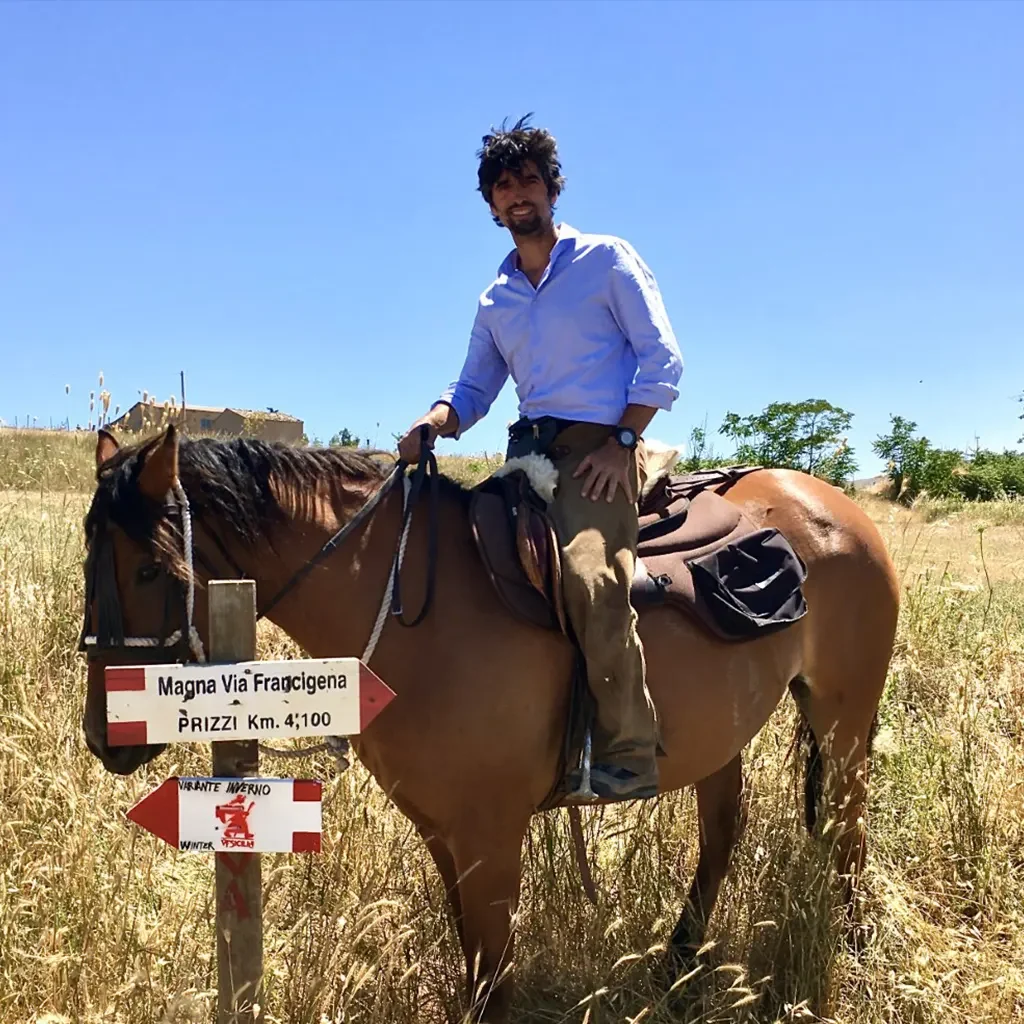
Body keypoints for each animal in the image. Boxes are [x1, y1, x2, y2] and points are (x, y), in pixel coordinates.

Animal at [77, 423, 897, 1015]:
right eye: (90, 565)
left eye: (150, 569)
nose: (105, 736)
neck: (411, 609)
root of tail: (833, 507)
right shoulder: (445, 835)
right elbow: (475, 968)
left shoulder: (492, 838)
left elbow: (494, 980)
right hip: (724, 738)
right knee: (725, 833)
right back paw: (676, 964)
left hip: (845, 723)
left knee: (849, 828)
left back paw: (855, 947)